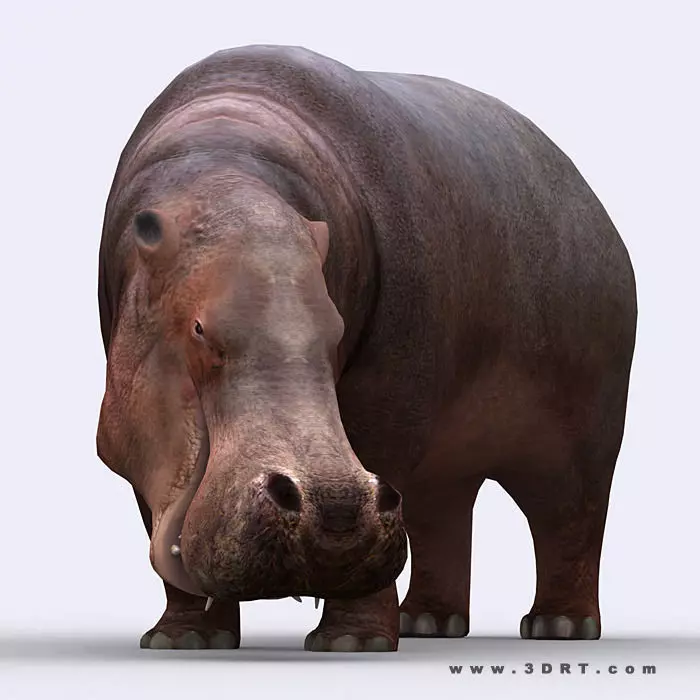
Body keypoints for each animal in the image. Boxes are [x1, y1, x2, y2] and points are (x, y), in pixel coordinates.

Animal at [96, 45, 637, 652]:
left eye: (335, 329)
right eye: (198, 330)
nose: (331, 510)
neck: (226, 169)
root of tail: (593, 202)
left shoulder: (392, 404)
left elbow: (382, 458)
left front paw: (353, 643)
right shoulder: (145, 426)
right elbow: (157, 509)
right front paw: (184, 639)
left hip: (580, 441)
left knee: (570, 521)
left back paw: (559, 628)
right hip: (449, 458)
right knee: (442, 518)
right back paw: (428, 624)